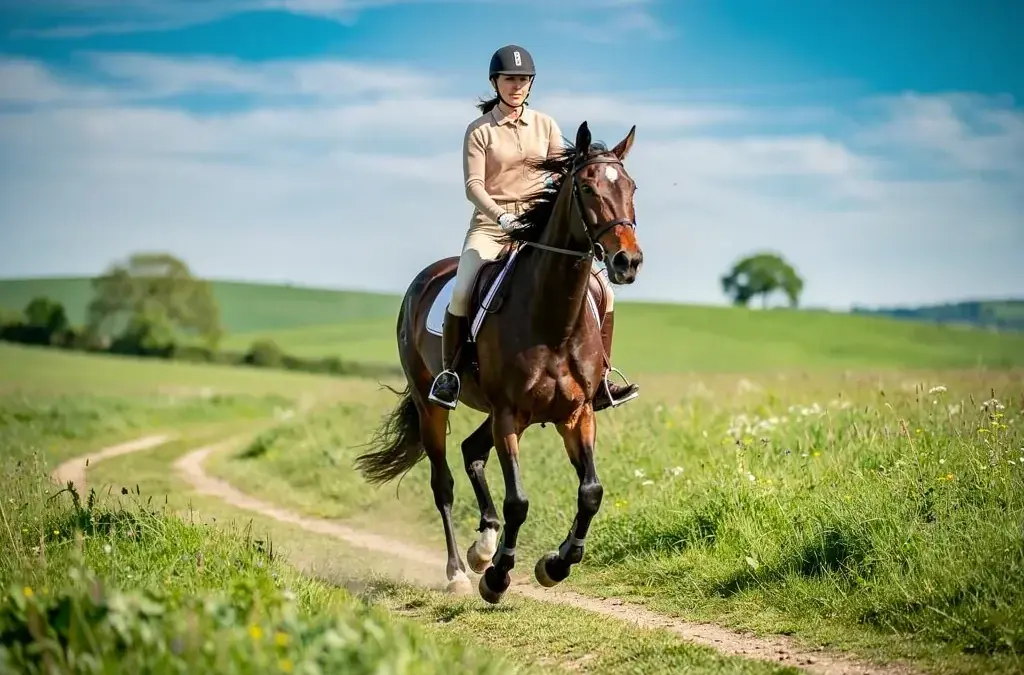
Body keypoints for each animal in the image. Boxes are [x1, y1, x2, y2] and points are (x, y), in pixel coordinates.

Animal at [353, 120, 644, 604]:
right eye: (587, 187)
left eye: (632, 187)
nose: (628, 261)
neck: (551, 319)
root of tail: (425, 278)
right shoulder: (509, 414)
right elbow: (518, 502)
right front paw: (497, 578)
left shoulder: (578, 413)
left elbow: (591, 491)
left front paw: (555, 564)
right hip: (432, 405)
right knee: (443, 484)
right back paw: (459, 572)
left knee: (472, 451)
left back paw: (483, 544)